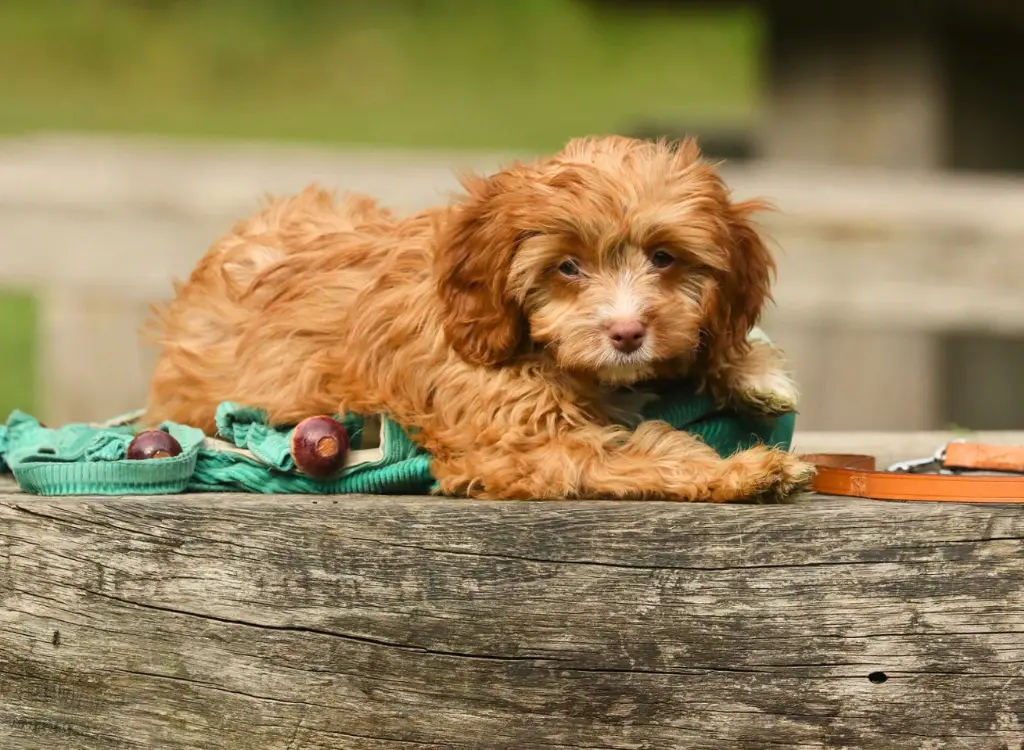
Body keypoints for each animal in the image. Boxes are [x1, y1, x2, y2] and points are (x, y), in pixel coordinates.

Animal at [144, 133, 815, 504]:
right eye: (567, 267)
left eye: (664, 257)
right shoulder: (525, 443)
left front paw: (753, 372)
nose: (627, 334)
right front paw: (748, 472)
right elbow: (642, 454)